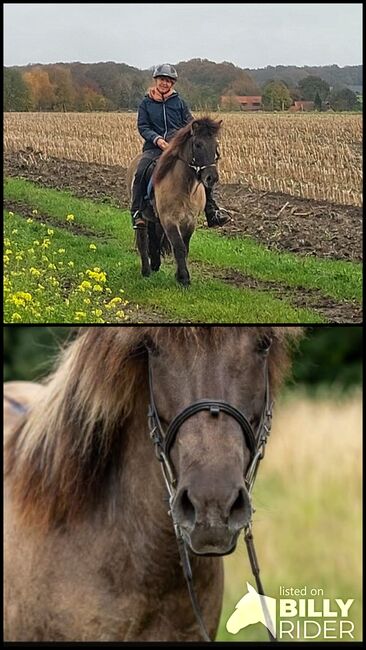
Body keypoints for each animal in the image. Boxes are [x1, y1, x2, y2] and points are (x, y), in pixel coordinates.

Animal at [127, 118, 222, 284]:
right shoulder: (169, 220)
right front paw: (184, 278)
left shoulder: (190, 221)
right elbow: (178, 246)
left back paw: (155, 264)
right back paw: (146, 271)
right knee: (142, 240)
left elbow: (185, 247)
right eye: (198, 144)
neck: (185, 188)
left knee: (154, 239)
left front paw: (179, 275)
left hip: (156, 219)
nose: (212, 178)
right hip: (144, 217)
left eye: (215, 146)